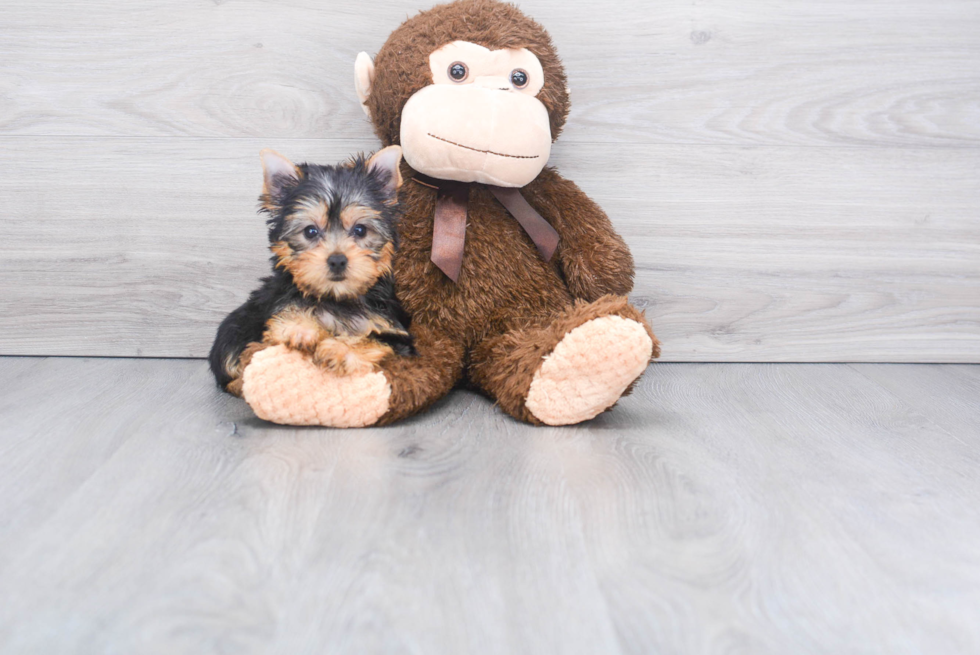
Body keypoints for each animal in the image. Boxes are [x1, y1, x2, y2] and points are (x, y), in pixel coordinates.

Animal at [210, 146, 414, 398]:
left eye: (360, 230)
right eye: (310, 231)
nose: (337, 260)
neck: (336, 298)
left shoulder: (397, 334)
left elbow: (376, 339)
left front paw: (339, 350)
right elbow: (291, 312)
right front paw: (300, 329)